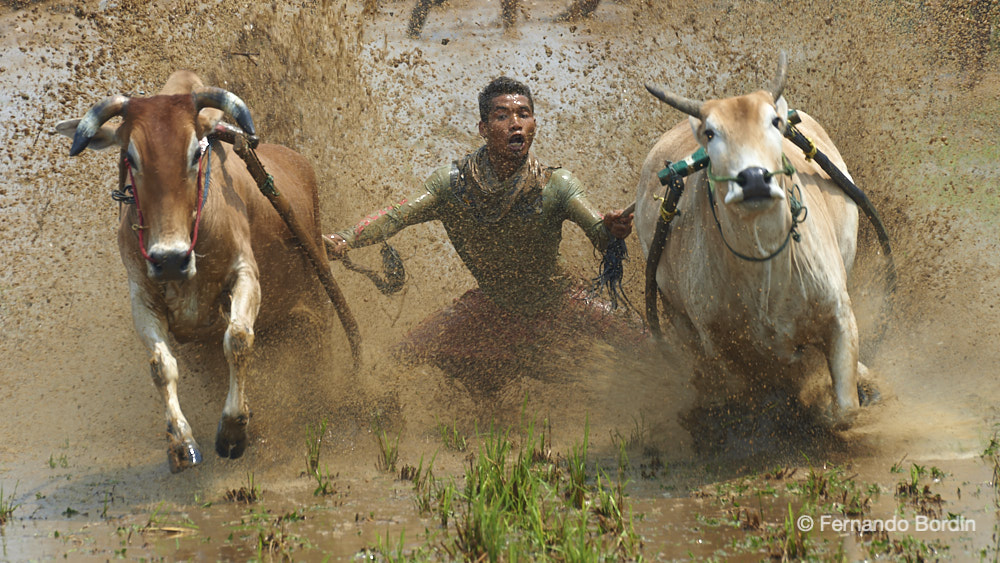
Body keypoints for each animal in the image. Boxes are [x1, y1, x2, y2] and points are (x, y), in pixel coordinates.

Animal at [58, 71, 340, 476]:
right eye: (130, 156)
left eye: (196, 152)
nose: (170, 259)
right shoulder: (143, 297)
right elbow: (161, 366)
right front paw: (182, 443)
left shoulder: (246, 275)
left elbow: (238, 339)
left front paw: (234, 430)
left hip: (317, 299)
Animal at [640, 56, 868, 428]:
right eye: (711, 133)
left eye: (773, 121)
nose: (755, 179)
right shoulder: (716, 341)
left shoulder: (839, 316)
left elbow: (847, 411)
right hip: (677, 316)